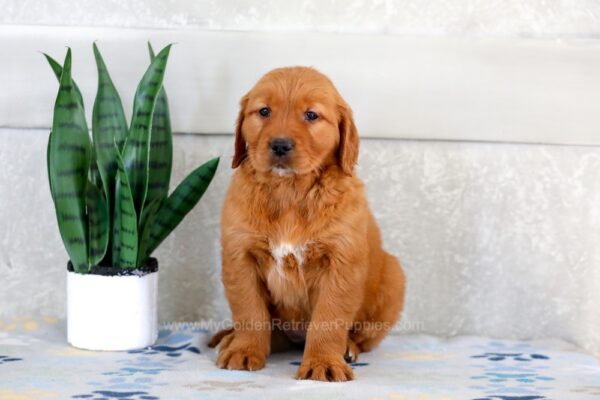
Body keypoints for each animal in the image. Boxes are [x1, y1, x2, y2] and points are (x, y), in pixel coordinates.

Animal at [209, 66, 406, 382]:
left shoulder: (340, 262)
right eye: (264, 111)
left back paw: (348, 348)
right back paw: (231, 339)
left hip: (394, 276)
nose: (279, 144)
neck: (289, 191)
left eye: (312, 115)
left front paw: (323, 362)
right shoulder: (240, 256)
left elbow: (328, 318)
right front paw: (245, 350)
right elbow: (250, 311)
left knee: (362, 338)